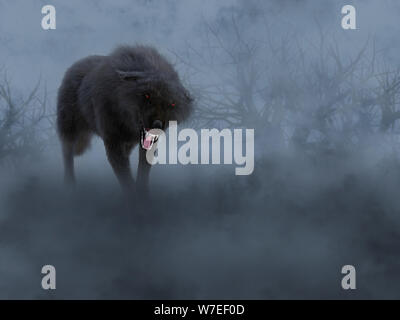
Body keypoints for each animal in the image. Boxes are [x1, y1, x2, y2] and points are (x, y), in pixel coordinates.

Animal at [57, 45, 193, 192]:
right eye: (147, 95)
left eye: (172, 104)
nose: (157, 124)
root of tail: (76, 64)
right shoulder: (112, 140)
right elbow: (125, 176)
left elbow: (143, 170)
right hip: (69, 128)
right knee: (67, 153)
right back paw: (69, 184)